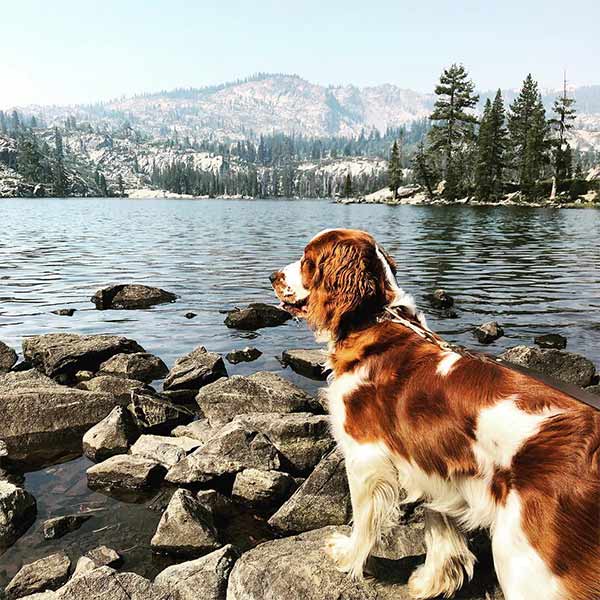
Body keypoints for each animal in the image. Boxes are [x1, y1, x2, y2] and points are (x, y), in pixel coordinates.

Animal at [272, 229, 600, 600]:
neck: (373, 322)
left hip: (526, 562)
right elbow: (441, 530)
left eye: (308, 260)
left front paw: (348, 555)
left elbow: (363, 518)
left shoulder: (365, 457)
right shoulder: (436, 467)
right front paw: (433, 581)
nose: (273, 277)